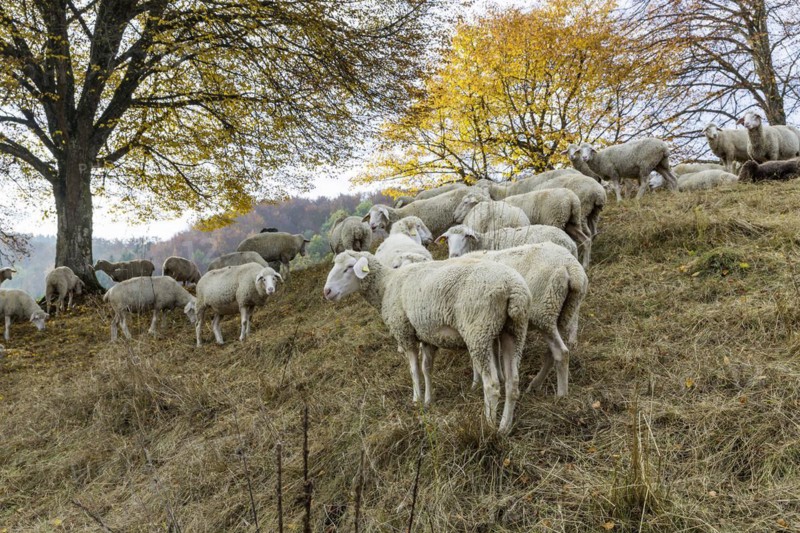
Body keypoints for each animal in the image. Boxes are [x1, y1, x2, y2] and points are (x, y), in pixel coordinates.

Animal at [323, 251, 531, 434]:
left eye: (349, 267)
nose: (327, 291)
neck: (385, 285)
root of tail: (512, 289)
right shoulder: (426, 335)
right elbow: (426, 369)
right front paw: (428, 400)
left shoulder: (404, 333)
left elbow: (414, 371)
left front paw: (416, 399)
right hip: (514, 329)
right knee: (512, 383)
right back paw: (505, 427)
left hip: (478, 330)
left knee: (492, 386)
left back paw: (488, 427)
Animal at [462, 243, 588, 396]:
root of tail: (572, 268)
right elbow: (495, 351)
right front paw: (500, 377)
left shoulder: (474, 322)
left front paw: (475, 384)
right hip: (564, 312)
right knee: (552, 354)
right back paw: (535, 385)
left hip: (545, 311)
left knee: (562, 353)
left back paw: (561, 395)